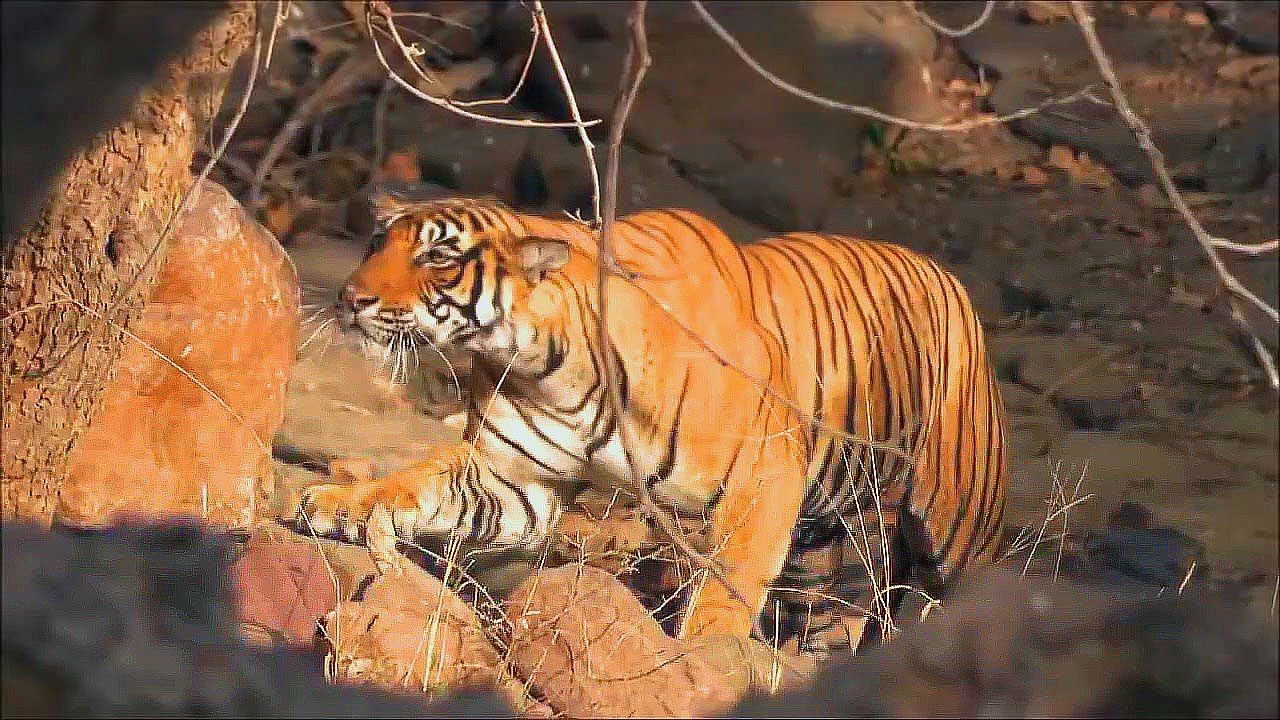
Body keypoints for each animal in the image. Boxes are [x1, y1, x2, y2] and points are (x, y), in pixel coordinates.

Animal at [295, 194, 1007, 650]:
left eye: (439, 258)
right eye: (374, 243)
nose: (348, 298)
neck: (543, 360)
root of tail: (952, 279)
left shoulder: (765, 473)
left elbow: (728, 585)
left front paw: (702, 657)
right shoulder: (516, 478)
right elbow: (419, 481)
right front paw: (343, 503)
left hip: (957, 519)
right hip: (826, 524)